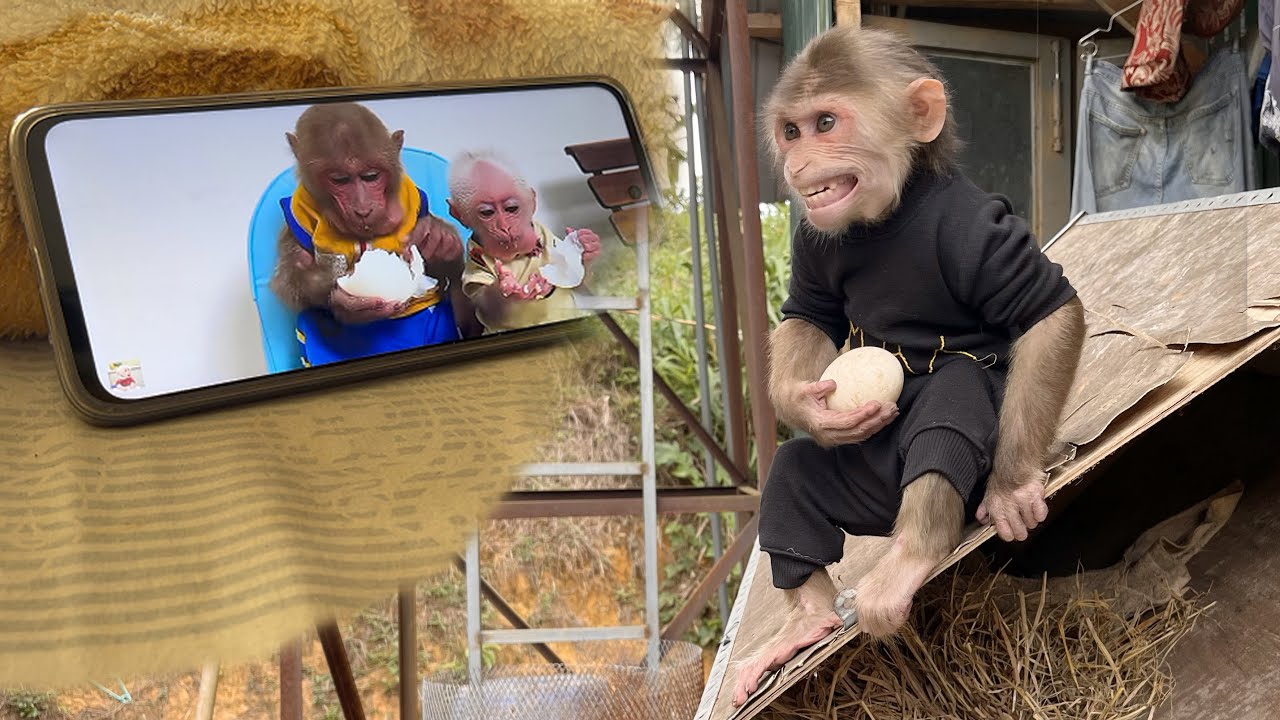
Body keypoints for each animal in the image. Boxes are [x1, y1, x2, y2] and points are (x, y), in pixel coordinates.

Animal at [268, 102, 473, 366]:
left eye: (371, 176)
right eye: (340, 180)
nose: (363, 209)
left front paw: (442, 242)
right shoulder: (296, 217)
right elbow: (292, 278)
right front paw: (337, 297)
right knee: (311, 320)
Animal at [445, 150, 602, 334]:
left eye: (511, 209)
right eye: (487, 213)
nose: (505, 227)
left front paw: (588, 248)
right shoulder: (474, 259)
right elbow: (489, 306)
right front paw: (504, 286)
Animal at [730, 25, 1087, 707]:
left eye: (826, 123)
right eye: (792, 130)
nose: (798, 162)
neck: (887, 217)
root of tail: (882, 505)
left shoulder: (974, 228)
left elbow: (1043, 308)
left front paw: (1012, 489)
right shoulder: (812, 241)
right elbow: (807, 311)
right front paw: (806, 405)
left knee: (953, 402)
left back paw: (916, 551)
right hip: (853, 488)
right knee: (790, 475)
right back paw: (806, 617)